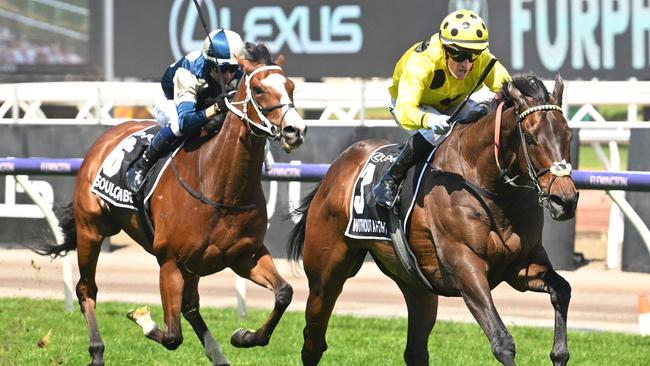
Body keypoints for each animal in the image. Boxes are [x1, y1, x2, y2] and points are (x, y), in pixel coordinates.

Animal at [29, 43, 306, 366]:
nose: (295, 130)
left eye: (291, 86)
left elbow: (284, 293)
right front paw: (142, 318)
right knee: (87, 288)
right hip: (91, 231)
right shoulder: (170, 260)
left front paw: (245, 335)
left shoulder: (244, 255)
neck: (219, 185)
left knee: (190, 306)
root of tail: (105, 137)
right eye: (259, 89)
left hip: (193, 264)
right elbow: (172, 336)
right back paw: (97, 351)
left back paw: (218, 355)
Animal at [288, 72, 576, 366]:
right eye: (529, 138)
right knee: (313, 340)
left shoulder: (520, 266)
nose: (564, 200)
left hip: (415, 284)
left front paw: (559, 353)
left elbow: (562, 290)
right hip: (325, 275)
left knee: (415, 350)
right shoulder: (465, 266)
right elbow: (502, 341)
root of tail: (335, 170)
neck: (487, 187)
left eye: (568, 134)